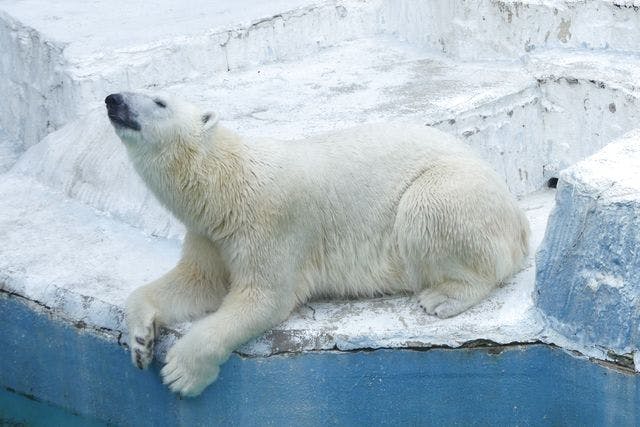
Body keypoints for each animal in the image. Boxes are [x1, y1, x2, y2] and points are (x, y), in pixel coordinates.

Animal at [105, 90, 528, 398]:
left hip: (453, 188)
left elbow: (263, 298)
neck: (227, 185)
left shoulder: (270, 223)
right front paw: (140, 341)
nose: (113, 99)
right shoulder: (211, 235)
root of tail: (519, 217)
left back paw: (443, 297)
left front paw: (180, 372)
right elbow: (197, 283)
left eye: (160, 101)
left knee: (428, 209)